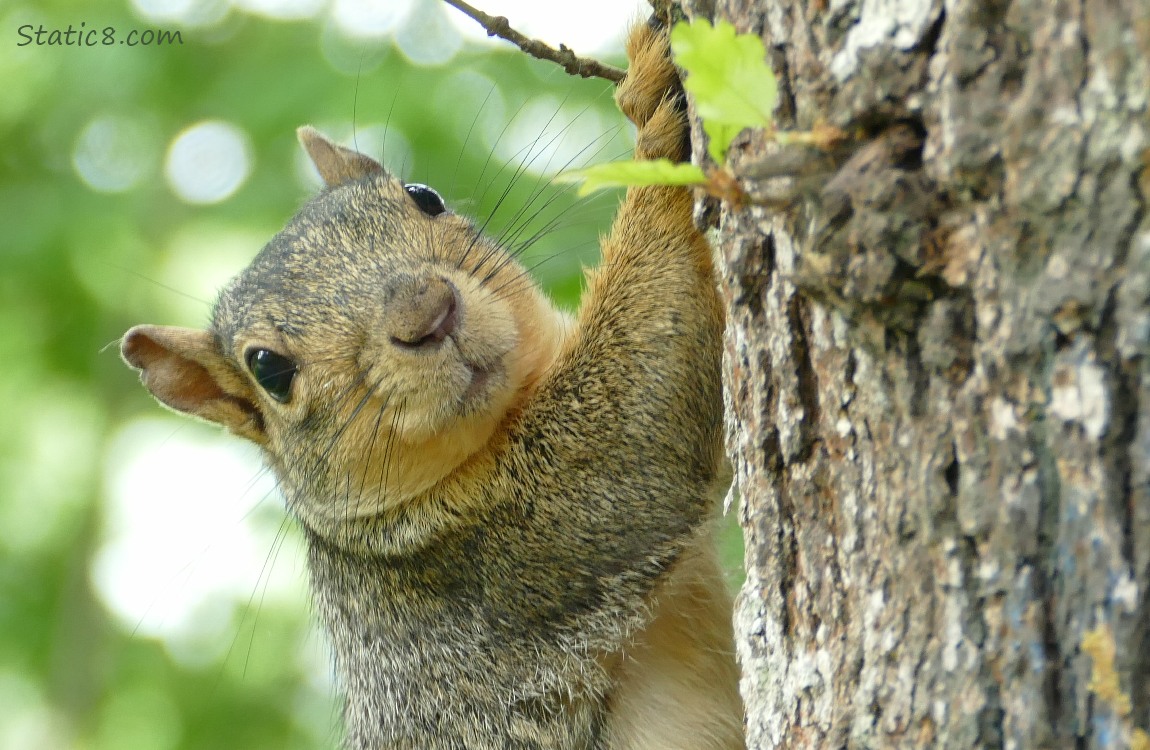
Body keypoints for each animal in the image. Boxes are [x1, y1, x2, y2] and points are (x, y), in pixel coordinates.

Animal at [120, 20, 743, 750]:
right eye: (269, 369)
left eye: (425, 196)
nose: (427, 312)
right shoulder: (508, 553)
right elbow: (642, 416)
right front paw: (655, 120)